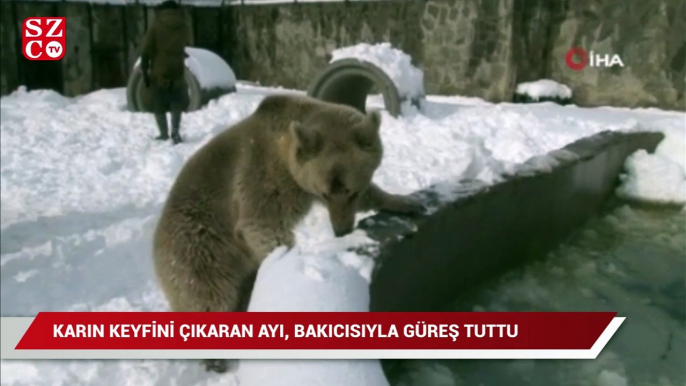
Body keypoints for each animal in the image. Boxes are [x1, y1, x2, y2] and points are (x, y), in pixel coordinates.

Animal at [154, 92, 428, 370]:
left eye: (352, 191)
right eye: (325, 192)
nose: (341, 229)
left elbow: (373, 196)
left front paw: (406, 201)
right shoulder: (261, 180)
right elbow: (261, 226)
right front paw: (289, 264)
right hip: (199, 251)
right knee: (208, 297)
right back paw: (215, 358)